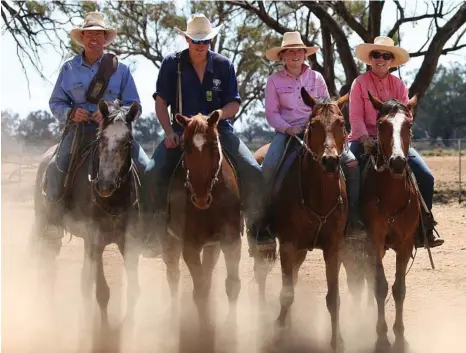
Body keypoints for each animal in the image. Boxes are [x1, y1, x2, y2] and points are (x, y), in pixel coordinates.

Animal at [33, 99, 142, 324]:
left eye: (127, 142)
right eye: (101, 140)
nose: (105, 185)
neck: (113, 201)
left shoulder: (128, 242)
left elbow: (133, 291)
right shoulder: (95, 241)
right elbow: (102, 292)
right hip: (43, 222)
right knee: (46, 264)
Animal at [160, 110, 242, 322]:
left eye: (213, 144)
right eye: (185, 146)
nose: (200, 197)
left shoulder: (231, 241)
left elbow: (232, 285)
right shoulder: (189, 246)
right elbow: (199, 291)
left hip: (213, 246)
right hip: (169, 242)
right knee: (173, 275)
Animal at [264, 88, 348, 352]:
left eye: (342, 122)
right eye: (313, 124)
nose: (330, 160)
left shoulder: (334, 248)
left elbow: (333, 298)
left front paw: (337, 340)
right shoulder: (288, 245)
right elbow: (286, 293)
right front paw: (278, 333)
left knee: (294, 276)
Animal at [356, 92, 422, 350]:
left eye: (409, 125)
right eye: (381, 124)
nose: (397, 162)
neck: (392, 198)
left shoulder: (405, 243)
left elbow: (399, 288)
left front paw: (400, 336)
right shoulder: (375, 242)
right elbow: (380, 286)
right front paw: (382, 336)